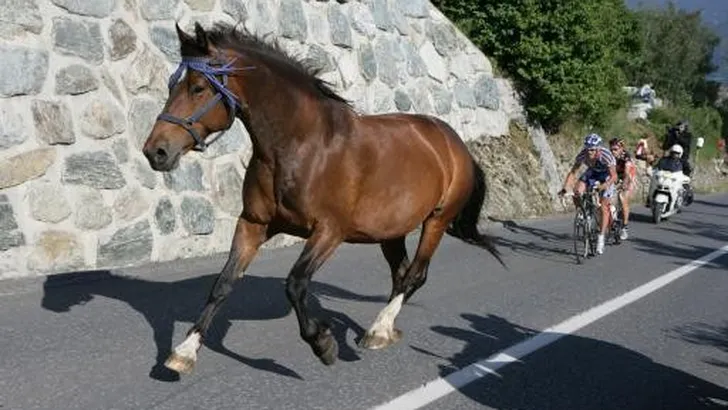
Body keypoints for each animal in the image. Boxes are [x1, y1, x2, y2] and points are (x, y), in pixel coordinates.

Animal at [144, 22, 506, 374]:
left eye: (198, 88)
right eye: (172, 85)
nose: (155, 151)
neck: (302, 145)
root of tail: (454, 143)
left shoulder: (329, 231)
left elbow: (295, 284)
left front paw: (323, 343)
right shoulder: (253, 224)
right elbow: (223, 283)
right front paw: (184, 352)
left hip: (436, 222)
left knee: (415, 275)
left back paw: (377, 331)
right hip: (390, 232)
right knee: (401, 274)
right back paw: (385, 331)